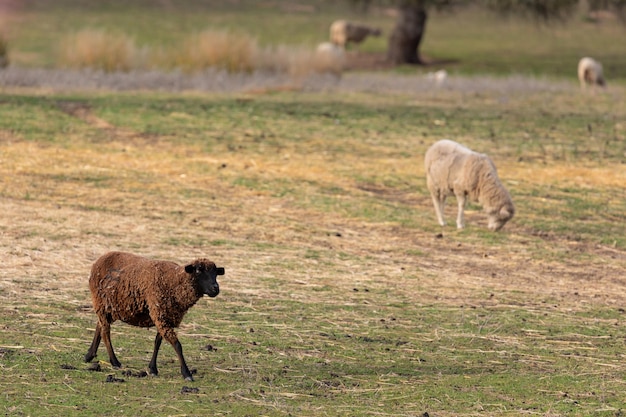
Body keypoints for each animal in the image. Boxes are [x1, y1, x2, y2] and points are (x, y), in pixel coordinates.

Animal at [83, 250, 224, 380]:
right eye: (199, 271)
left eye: (216, 273)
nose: (215, 288)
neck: (174, 281)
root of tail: (100, 259)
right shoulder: (160, 313)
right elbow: (177, 345)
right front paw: (186, 373)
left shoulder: (165, 316)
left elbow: (157, 342)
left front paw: (152, 369)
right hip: (100, 302)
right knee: (105, 331)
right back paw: (114, 362)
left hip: (110, 306)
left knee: (100, 325)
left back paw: (89, 355)